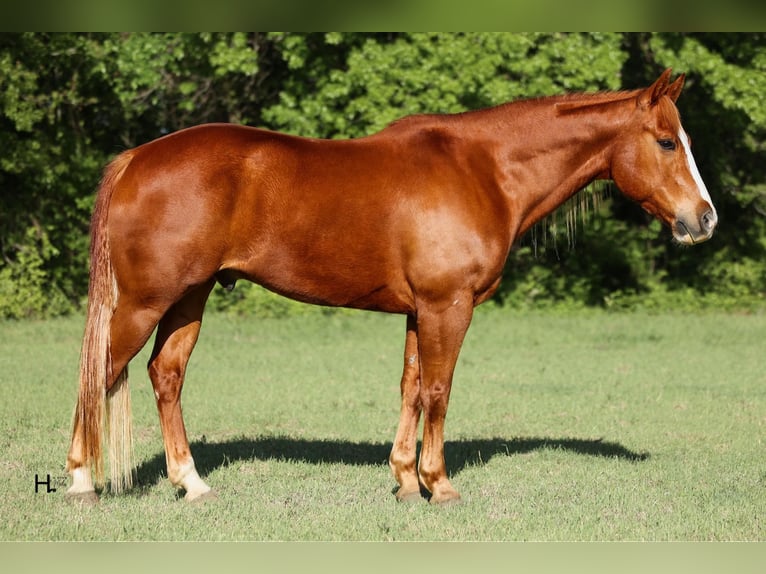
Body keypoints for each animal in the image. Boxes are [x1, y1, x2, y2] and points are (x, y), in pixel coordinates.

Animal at [65, 68, 717, 506]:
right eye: (666, 141)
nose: (705, 219)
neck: (484, 169)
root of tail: (136, 158)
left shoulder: (418, 311)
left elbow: (410, 388)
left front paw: (404, 481)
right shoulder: (448, 307)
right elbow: (439, 391)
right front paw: (439, 485)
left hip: (188, 299)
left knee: (166, 375)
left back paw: (192, 483)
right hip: (145, 304)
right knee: (100, 373)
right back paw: (79, 481)